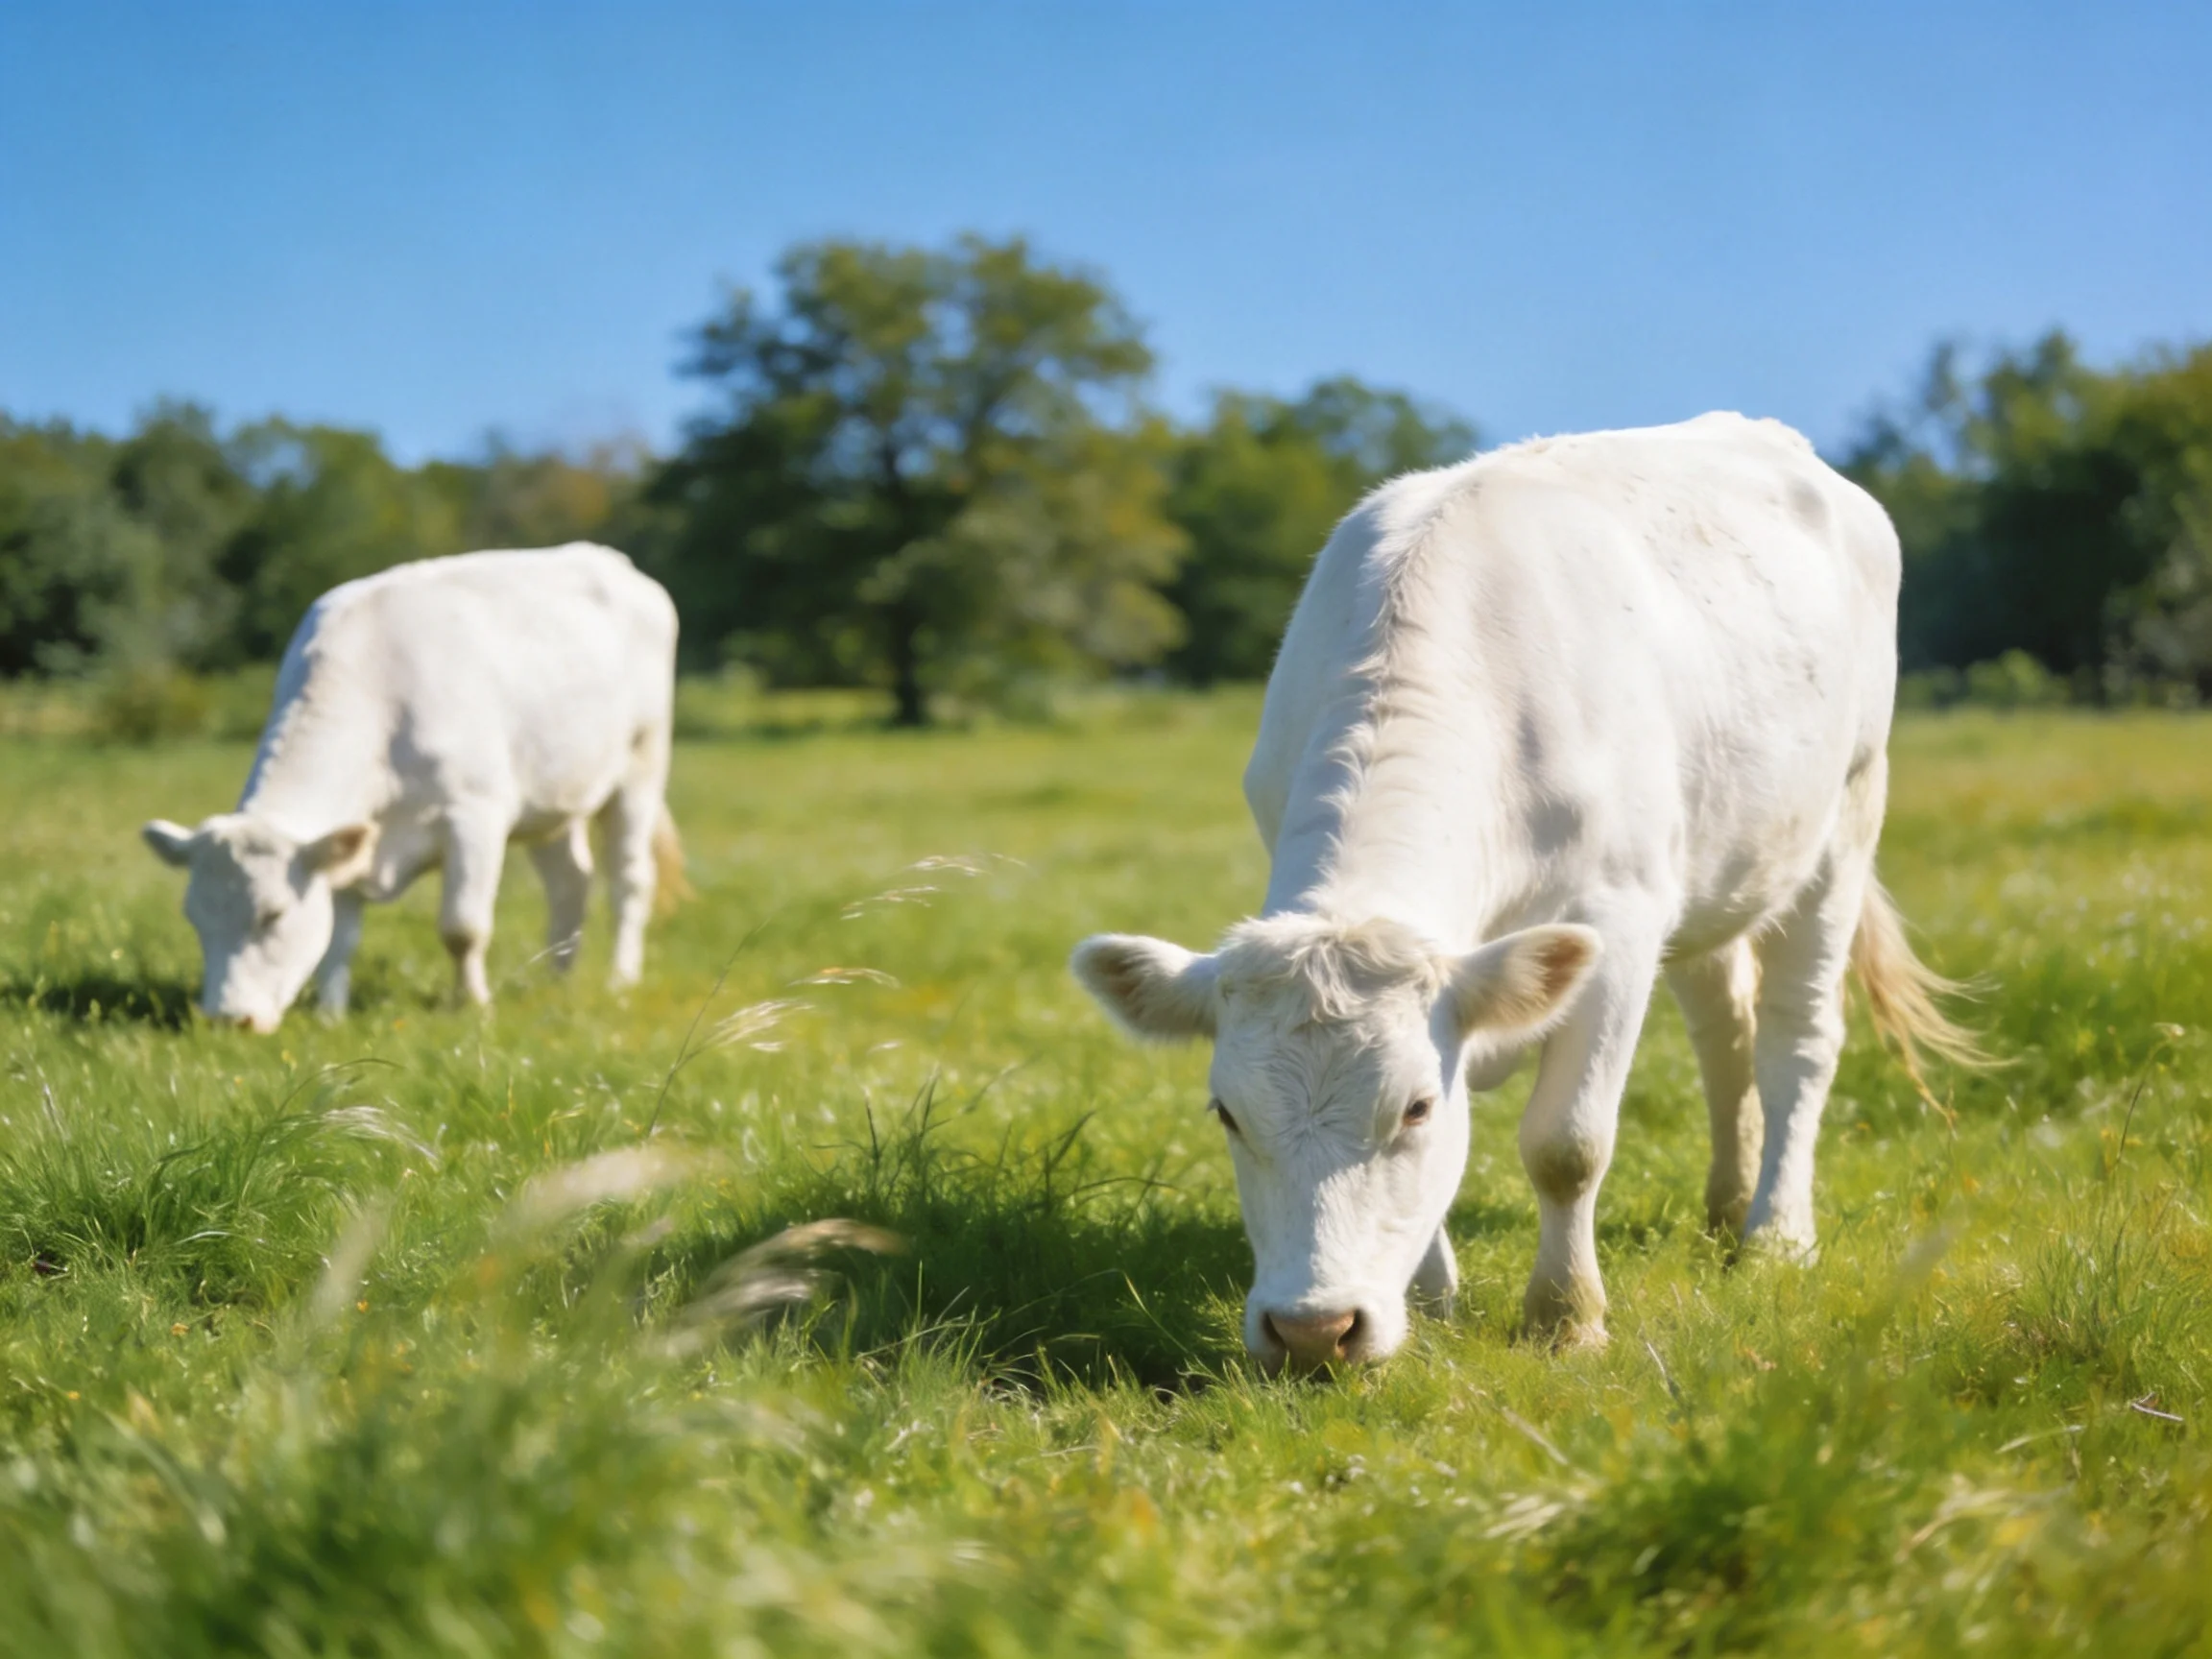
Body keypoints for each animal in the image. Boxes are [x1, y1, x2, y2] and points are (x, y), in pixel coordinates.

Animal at [143, 543, 681, 1033]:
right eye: (194, 918)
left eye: (273, 915)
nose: (226, 1019)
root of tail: (611, 560)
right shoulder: (352, 839)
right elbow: (339, 937)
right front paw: (331, 1014)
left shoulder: (475, 815)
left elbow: (463, 927)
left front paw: (473, 1005)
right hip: (552, 799)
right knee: (571, 881)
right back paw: (557, 976)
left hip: (641, 766)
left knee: (630, 879)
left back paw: (620, 979)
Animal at [1073, 413, 1977, 1375]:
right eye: (1228, 1114)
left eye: (1415, 1108)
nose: (1314, 1330)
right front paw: (1431, 1308)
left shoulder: (1620, 921)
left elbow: (1567, 1144)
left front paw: (1567, 1318)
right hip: (1719, 870)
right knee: (1723, 1034)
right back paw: (1727, 1206)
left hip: (1845, 817)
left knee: (1795, 1041)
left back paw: (1775, 1235)